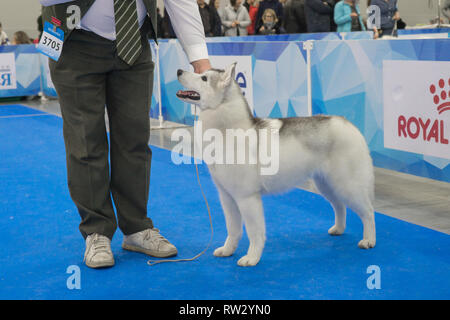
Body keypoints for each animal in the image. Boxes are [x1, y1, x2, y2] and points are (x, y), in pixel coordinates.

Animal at [177, 63, 376, 266]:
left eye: (203, 78)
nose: (178, 71)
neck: (227, 129)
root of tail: (348, 124)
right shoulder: (227, 197)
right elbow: (233, 229)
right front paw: (227, 250)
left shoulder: (247, 198)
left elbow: (254, 232)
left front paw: (252, 258)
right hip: (326, 185)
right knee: (339, 206)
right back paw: (338, 229)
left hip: (347, 185)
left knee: (368, 212)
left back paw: (369, 240)